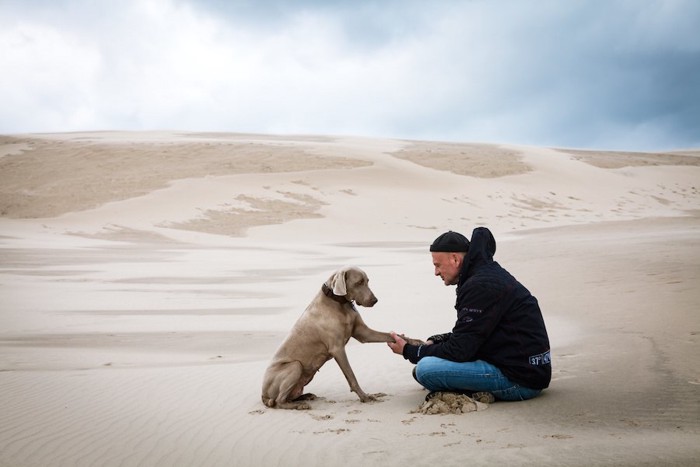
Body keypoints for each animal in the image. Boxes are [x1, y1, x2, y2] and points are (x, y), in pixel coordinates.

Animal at [260, 266, 418, 410]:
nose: (375, 300)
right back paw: (300, 405)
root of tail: (263, 395)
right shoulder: (337, 349)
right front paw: (365, 397)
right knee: (279, 401)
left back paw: (306, 396)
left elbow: (392, 335)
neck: (340, 303)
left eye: (367, 281)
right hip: (295, 366)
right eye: (358, 282)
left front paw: (416, 342)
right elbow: (351, 376)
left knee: (288, 397)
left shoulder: (363, 333)